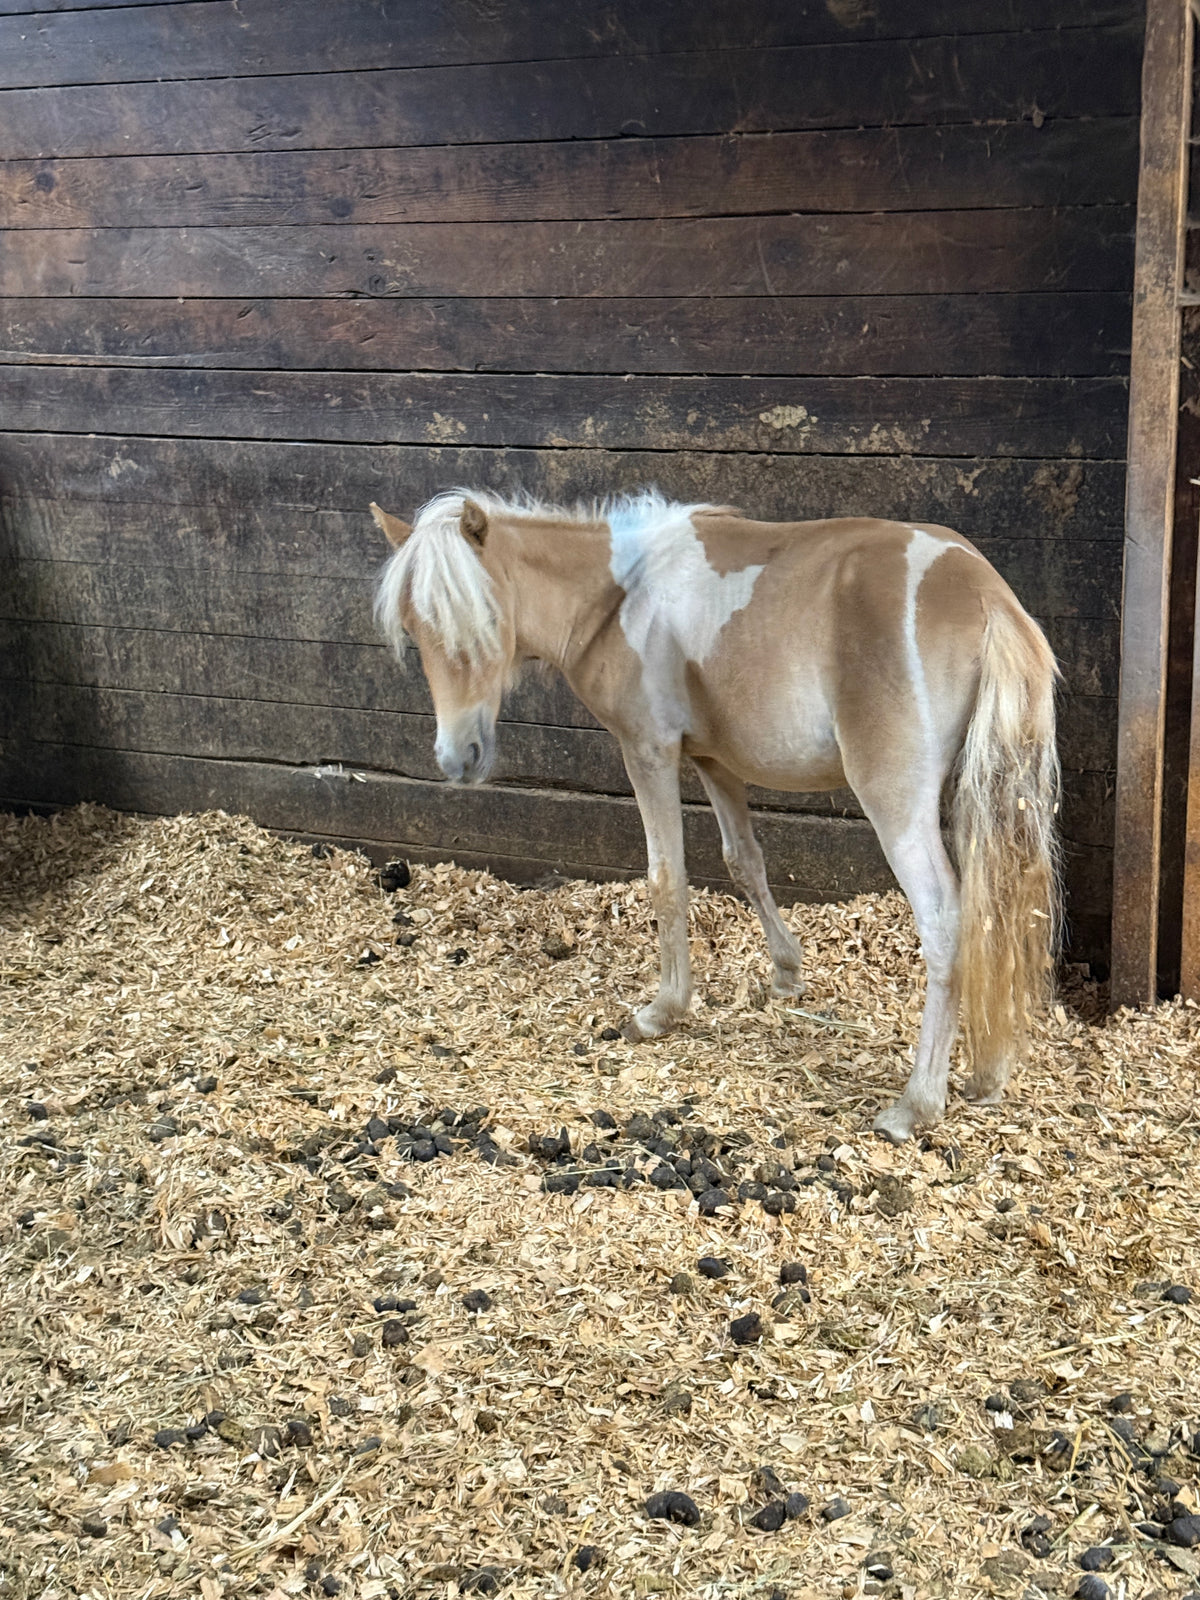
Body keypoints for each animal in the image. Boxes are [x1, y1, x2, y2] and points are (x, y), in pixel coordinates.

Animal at [371, 489, 1060, 1143]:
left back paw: (916, 1105)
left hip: (896, 803)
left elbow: (666, 877)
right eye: (413, 627)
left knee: (945, 921)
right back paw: (987, 1074)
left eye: (486, 617)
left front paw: (664, 1009)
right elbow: (743, 862)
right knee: (997, 914)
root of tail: (984, 594)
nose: (458, 758)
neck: (621, 595)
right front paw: (786, 973)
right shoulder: (713, 762)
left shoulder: (648, 751)